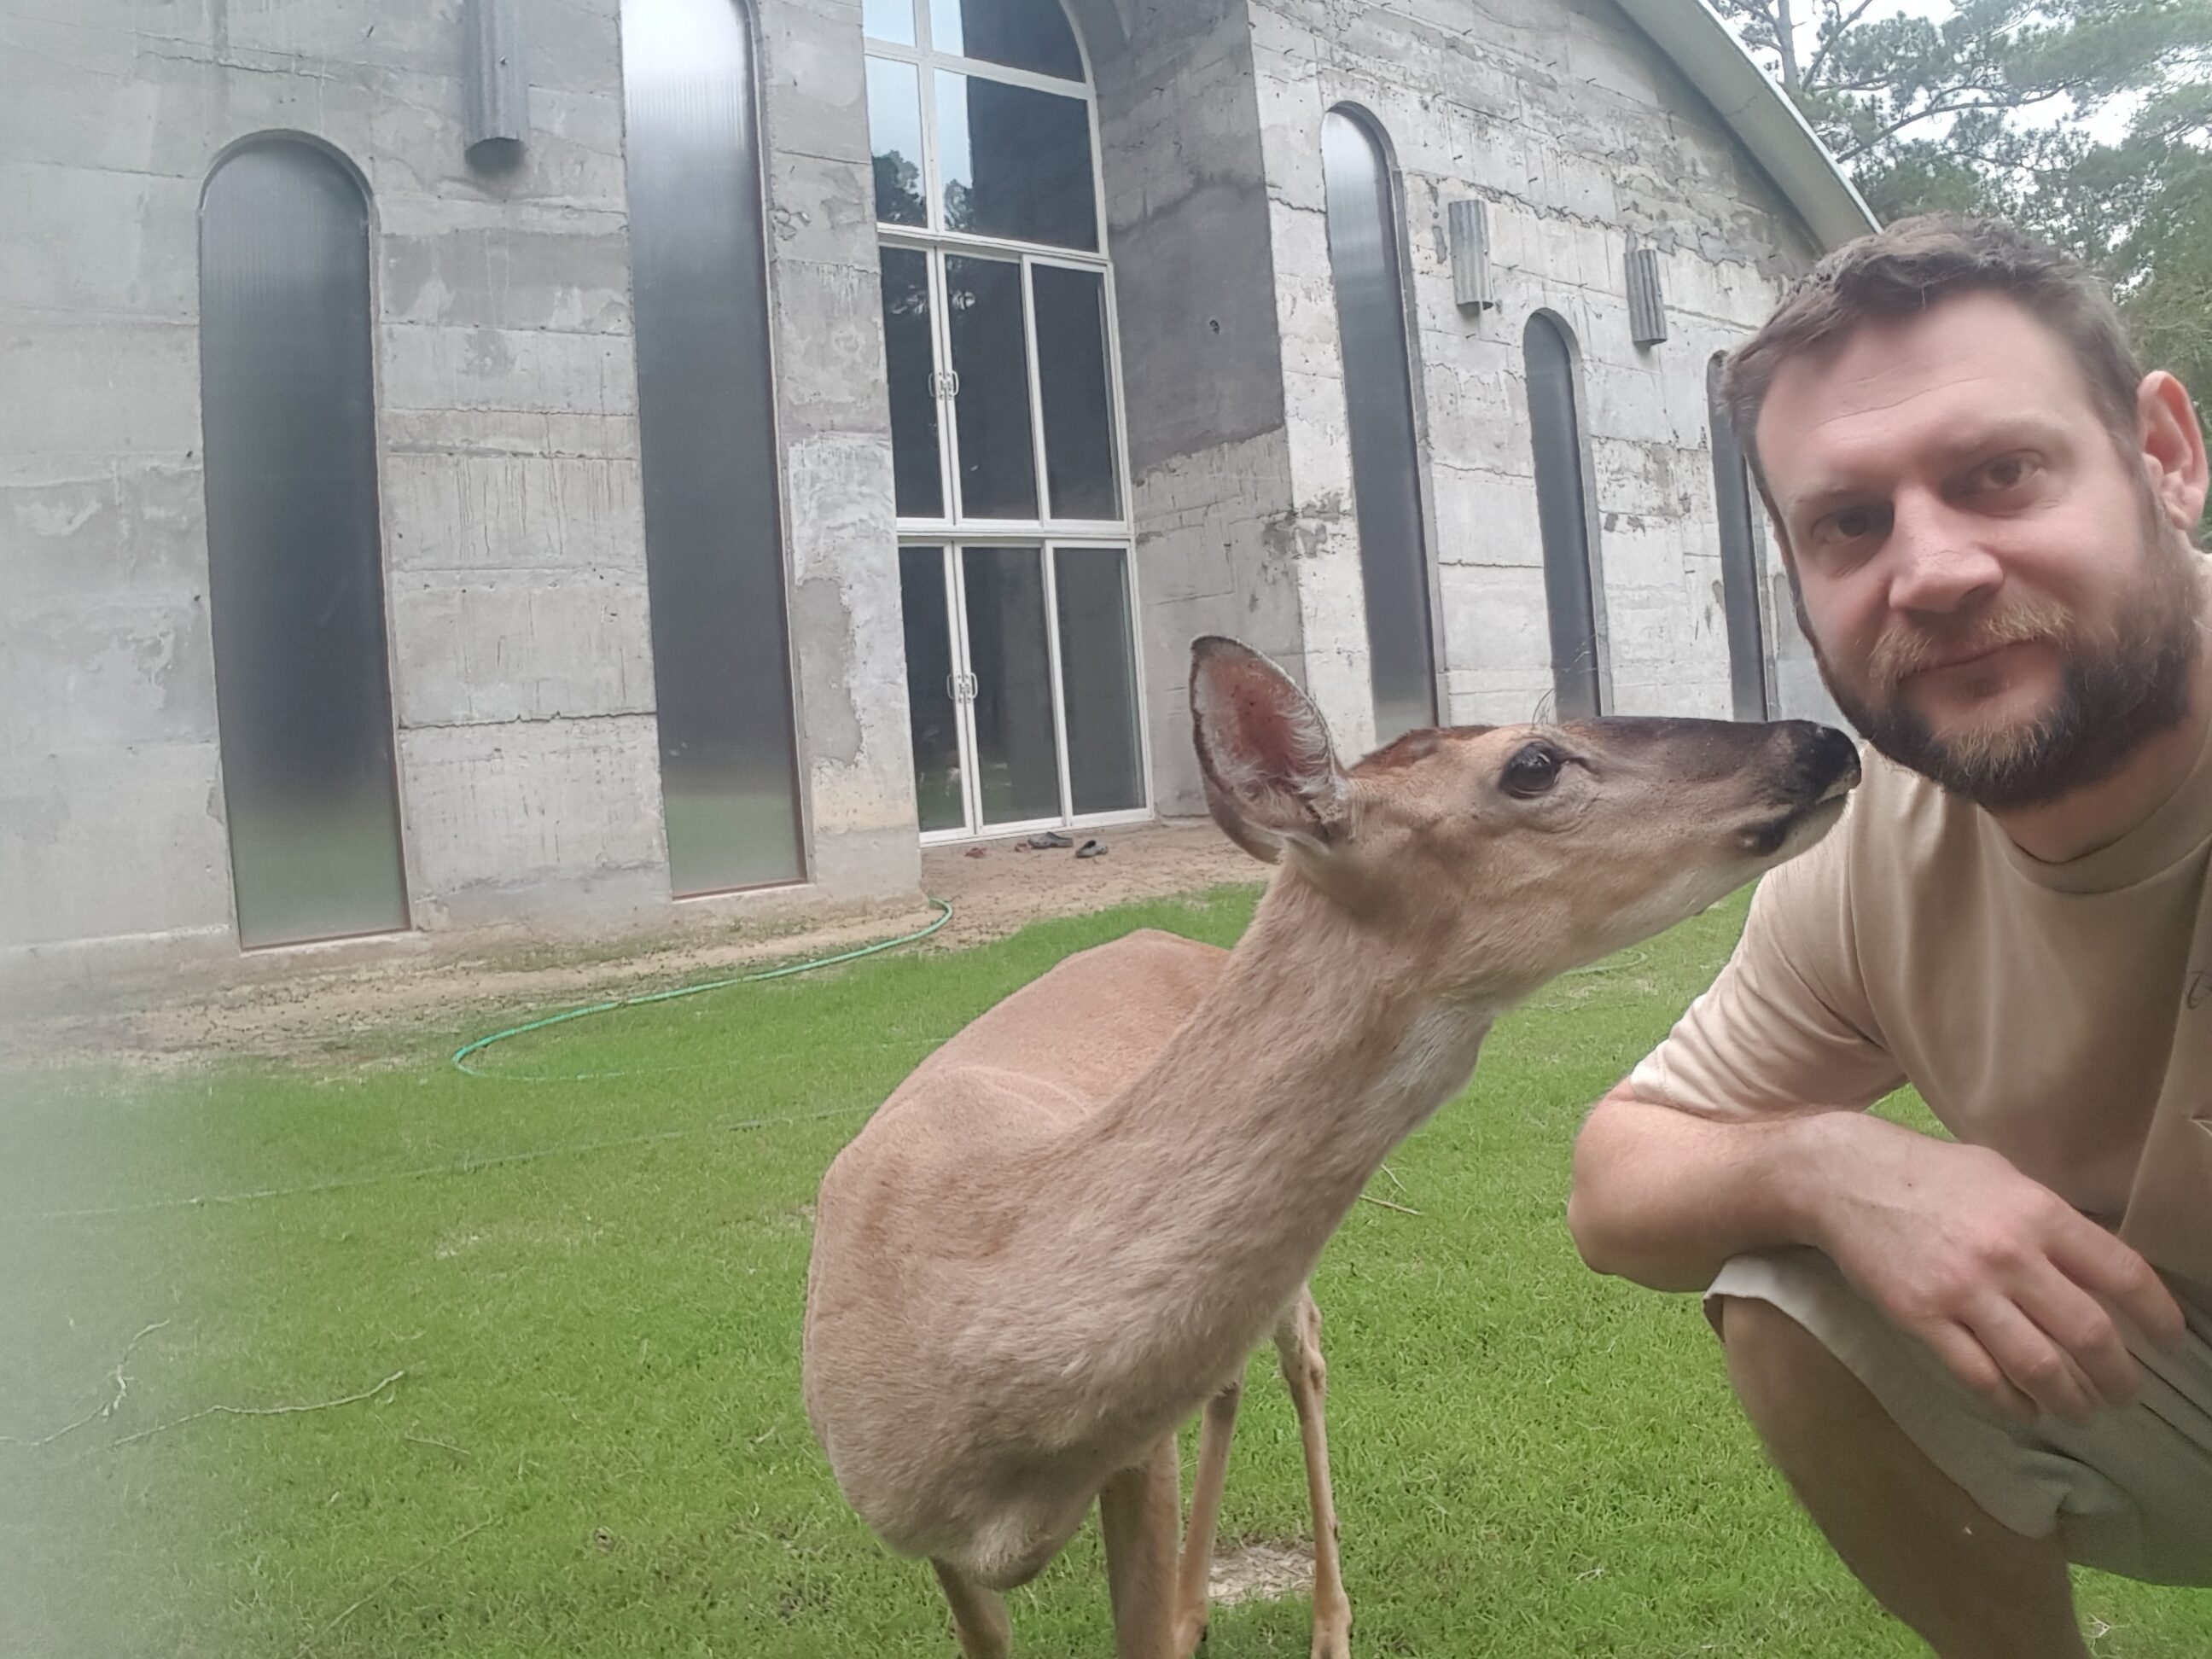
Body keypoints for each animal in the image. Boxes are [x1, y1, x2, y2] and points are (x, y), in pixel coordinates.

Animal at [802, 635, 1861, 1658]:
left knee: (1301, 1356)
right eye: (1531, 763)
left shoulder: (1136, 1459)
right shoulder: (925, 1537)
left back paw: (1317, 1623)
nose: (1822, 741)